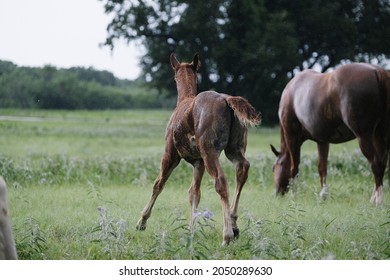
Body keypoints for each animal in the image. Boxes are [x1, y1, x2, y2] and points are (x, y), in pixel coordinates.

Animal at [136, 53, 260, 244]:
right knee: (242, 168)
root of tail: (226, 100)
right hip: (233, 150)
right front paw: (191, 230)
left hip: (211, 152)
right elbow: (194, 192)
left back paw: (226, 235)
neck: (184, 101)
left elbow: (158, 184)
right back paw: (234, 224)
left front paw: (142, 222)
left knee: (221, 181)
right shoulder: (198, 162)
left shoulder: (170, 155)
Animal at [272, 62, 390, 205]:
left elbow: (294, 167)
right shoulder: (322, 141)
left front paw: (294, 196)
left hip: (364, 137)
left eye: (274, 168)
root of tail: (378, 72)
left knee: (376, 164)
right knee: (382, 163)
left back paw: (378, 201)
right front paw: (323, 195)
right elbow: (322, 167)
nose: (276, 193)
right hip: (380, 136)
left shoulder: (292, 137)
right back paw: (374, 198)